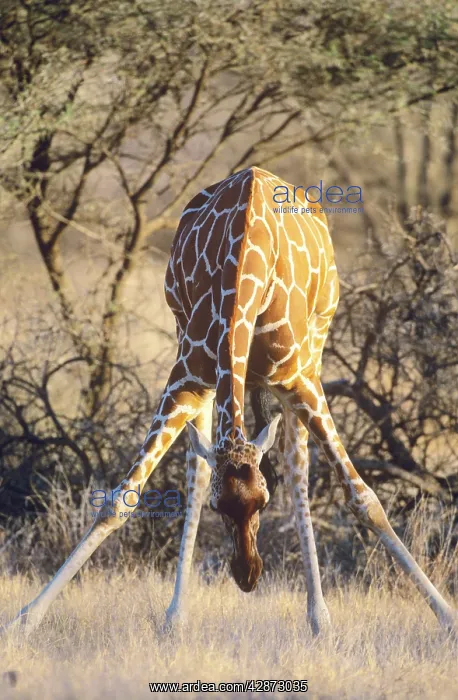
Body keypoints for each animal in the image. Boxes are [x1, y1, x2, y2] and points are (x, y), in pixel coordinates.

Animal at [4, 166, 457, 638]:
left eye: (263, 501)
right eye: (220, 507)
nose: (248, 577)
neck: (244, 277)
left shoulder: (299, 379)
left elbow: (363, 499)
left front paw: (447, 616)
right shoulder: (187, 376)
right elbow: (121, 500)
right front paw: (23, 621)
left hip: (313, 349)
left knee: (298, 468)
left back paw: (319, 618)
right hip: (197, 355)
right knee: (200, 467)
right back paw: (176, 616)